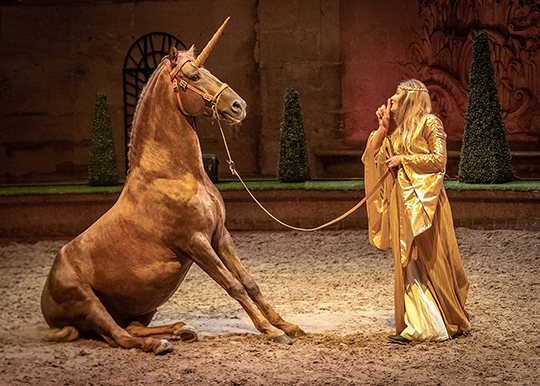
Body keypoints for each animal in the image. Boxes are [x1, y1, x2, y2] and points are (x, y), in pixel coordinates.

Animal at [39, 18, 304, 356]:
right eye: (194, 76)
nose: (238, 105)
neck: (174, 175)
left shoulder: (219, 235)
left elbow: (249, 281)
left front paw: (286, 324)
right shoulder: (195, 242)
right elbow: (232, 285)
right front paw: (271, 331)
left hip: (142, 306)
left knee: (128, 328)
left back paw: (182, 330)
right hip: (88, 301)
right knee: (119, 335)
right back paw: (159, 343)